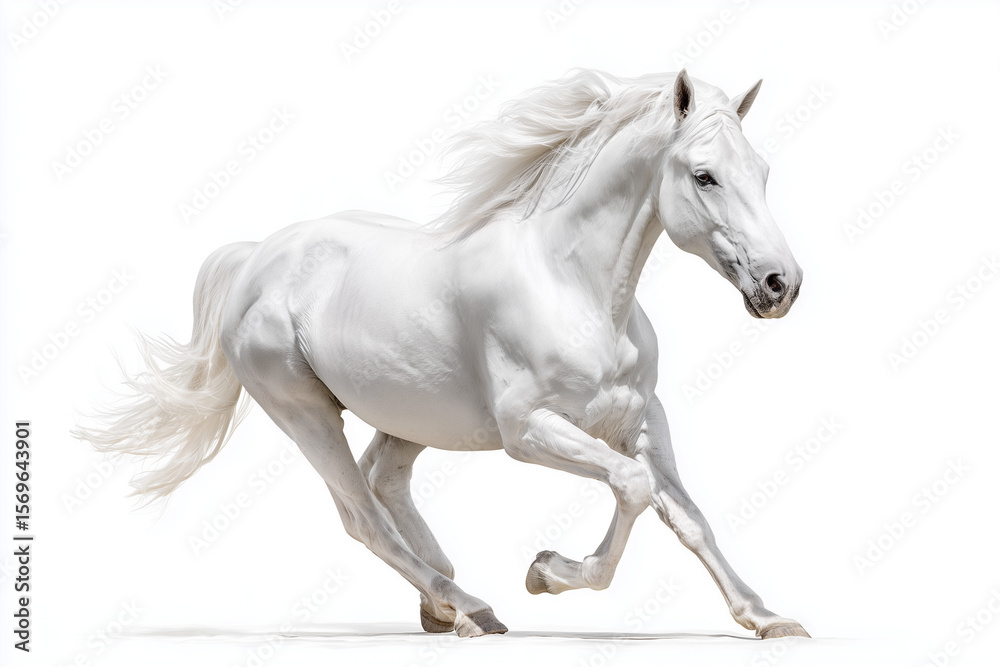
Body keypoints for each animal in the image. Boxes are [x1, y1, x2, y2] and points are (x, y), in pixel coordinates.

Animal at [75, 69, 808, 639]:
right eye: (704, 176)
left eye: (764, 171)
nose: (781, 285)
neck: (577, 287)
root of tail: (256, 257)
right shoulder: (528, 431)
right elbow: (632, 488)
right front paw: (545, 572)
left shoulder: (638, 419)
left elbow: (687, 516)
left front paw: (768, 617)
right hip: (305, 411)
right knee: (362, 516)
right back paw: (470, 606)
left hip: (413, 414)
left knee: (383, 479)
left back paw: (443, 602)